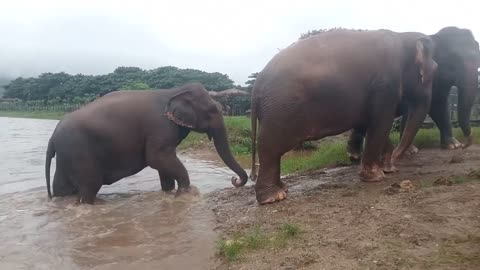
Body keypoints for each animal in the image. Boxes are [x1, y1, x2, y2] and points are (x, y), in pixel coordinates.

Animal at [44, 83, 248, 204]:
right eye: (212, 111)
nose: (235, 180)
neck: (174, 90)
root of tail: (52, 137)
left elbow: (164, 164)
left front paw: (169, 194)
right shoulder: (159, 126)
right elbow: (157, 158)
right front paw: (185, 195)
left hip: (66, 155)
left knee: (62, 188)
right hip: (79, 152)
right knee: (89, 187)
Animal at [249, 28, 436, 205]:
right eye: (435, 70)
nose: (396, 161)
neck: (401, 36)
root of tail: (256, 86)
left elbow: (371, 123)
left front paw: (387, 169)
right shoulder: (385, 84)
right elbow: (381, 123)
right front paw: (377, 176)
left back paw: (282, 189)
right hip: (279, 110)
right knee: (270, 148)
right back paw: (274, 197)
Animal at [346, 26, 480, 161]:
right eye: (454, 59)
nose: (465, 145)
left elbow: (440, 105)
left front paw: (453, 145)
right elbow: (425, 108)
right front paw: (410, 151)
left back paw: (355, 155)